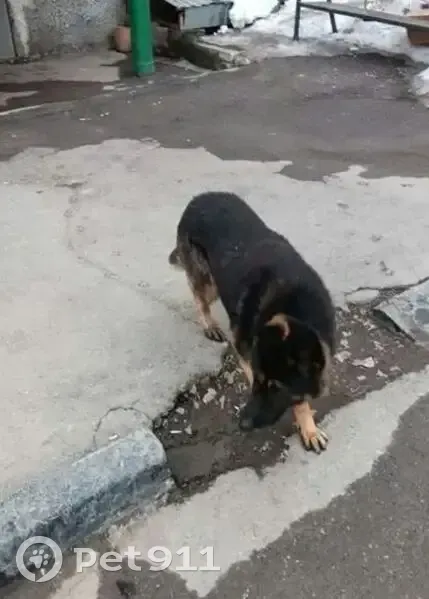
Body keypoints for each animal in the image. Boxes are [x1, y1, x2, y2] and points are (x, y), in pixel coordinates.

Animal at [169, 191, 336, 453]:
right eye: (258, 379)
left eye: (277, 388)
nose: (243, 425)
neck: (294, 304)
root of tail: (200, 197)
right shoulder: (244, 349)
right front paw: (305, 423)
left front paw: (308, 426)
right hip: (209, 283)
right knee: (199, 298)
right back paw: (209, 325)